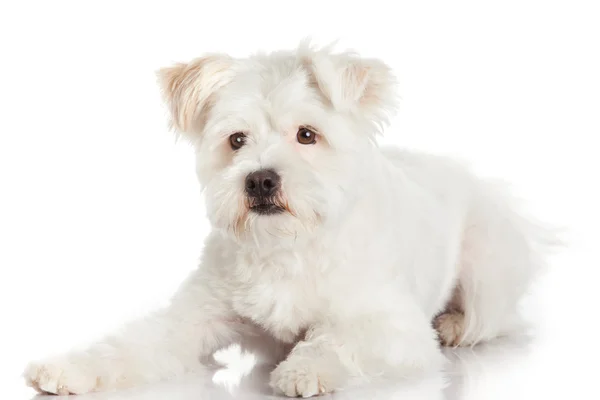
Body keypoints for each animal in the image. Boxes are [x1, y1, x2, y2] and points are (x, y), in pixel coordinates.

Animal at [23, 43, 556, 396]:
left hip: (487, 257)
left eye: (307, 134)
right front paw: (71, 368)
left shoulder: (395, 328)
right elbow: (131, 343)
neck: (285, 245)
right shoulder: (193, 316)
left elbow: (340, 337)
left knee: (493, 315)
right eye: (236, 140)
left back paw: (455, 323)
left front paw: (305, 368)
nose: (260, 181)